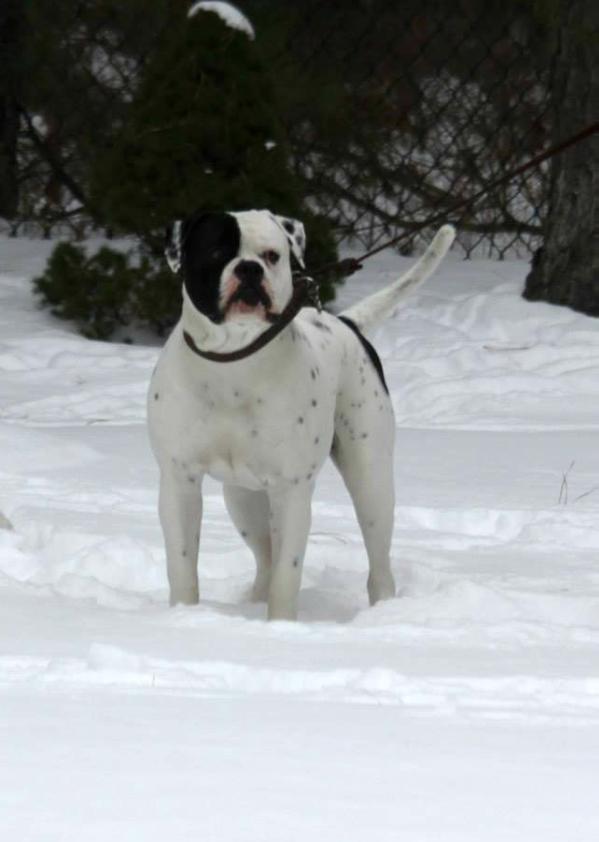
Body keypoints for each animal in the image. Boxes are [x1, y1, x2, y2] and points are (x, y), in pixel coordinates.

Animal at [146, 210, 454, 616]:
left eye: (272, 256)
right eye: (215, 251)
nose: (249, 268)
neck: (233, 365)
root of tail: (346, 323)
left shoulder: (291, 488)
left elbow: (287, 574)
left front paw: (280, 624)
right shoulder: (179, 479)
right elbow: (182, 565)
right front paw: (184, 614)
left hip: (370, 478)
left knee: (377, 560)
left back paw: (383, 610)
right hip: (242, 498)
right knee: (265, 557)